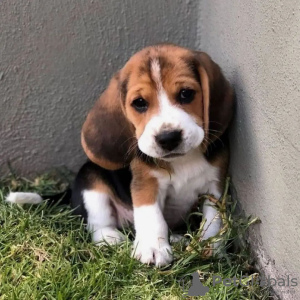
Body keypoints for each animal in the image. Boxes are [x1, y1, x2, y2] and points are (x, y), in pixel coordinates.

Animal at [75, 44, 234, 264]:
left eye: (186, 94)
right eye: (139, 102)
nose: (168, 138)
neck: (182, 160)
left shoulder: (214, 187)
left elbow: (213, 218)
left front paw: (210, 247)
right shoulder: (146, 184)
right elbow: (152, 216)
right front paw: (153, 248)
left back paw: (176, 239)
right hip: (91, 184)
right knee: (98, 225)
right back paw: (112, 238)